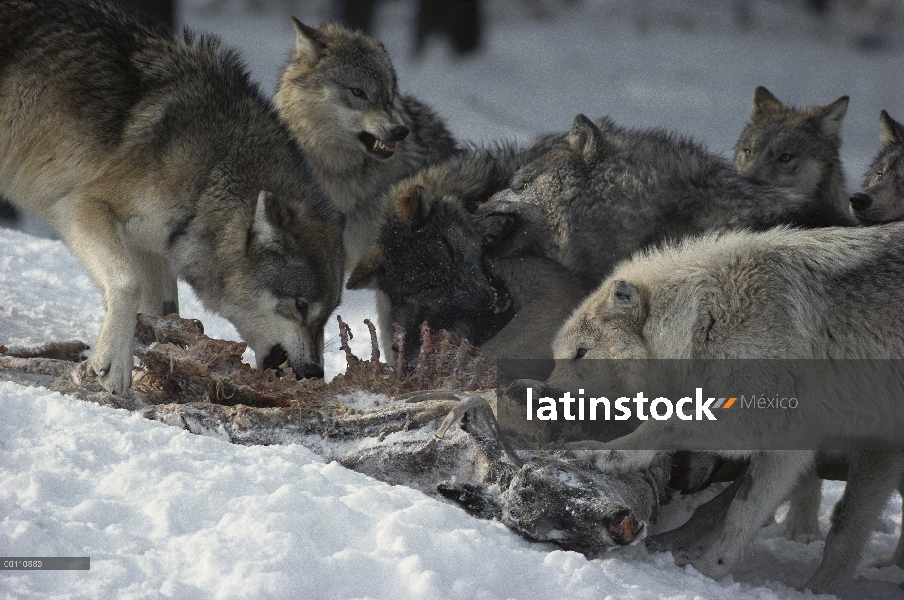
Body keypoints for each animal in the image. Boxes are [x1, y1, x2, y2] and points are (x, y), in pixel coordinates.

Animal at [0, 0, 346, 394]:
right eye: (300, 305)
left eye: (327, 315)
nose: (315, 373)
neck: (209, 174)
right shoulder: (80, 206)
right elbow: (127, 285)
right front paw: (114, 366)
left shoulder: (149, 243)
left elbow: (165, 313)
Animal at [552, 226, 904, 596]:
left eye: (581, 352)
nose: (546, 393)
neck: (703, 319)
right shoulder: (791, 445)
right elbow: (743, 514)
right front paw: (709, 570)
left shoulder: (762, 416)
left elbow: (662, 427)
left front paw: (600, 453)